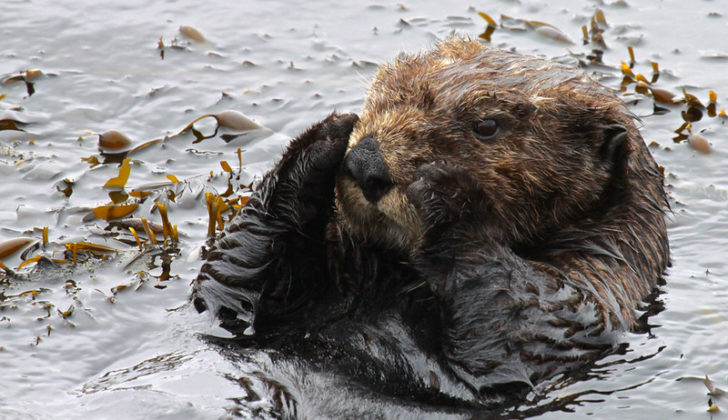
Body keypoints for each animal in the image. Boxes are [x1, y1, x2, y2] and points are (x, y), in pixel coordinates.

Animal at [192, 39, 669, 413]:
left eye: (487, 125)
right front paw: (327, 136)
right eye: (380, 93)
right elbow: (224, 285)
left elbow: (516, 326)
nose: (366, 162)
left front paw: (447, 189)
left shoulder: (589, 297)